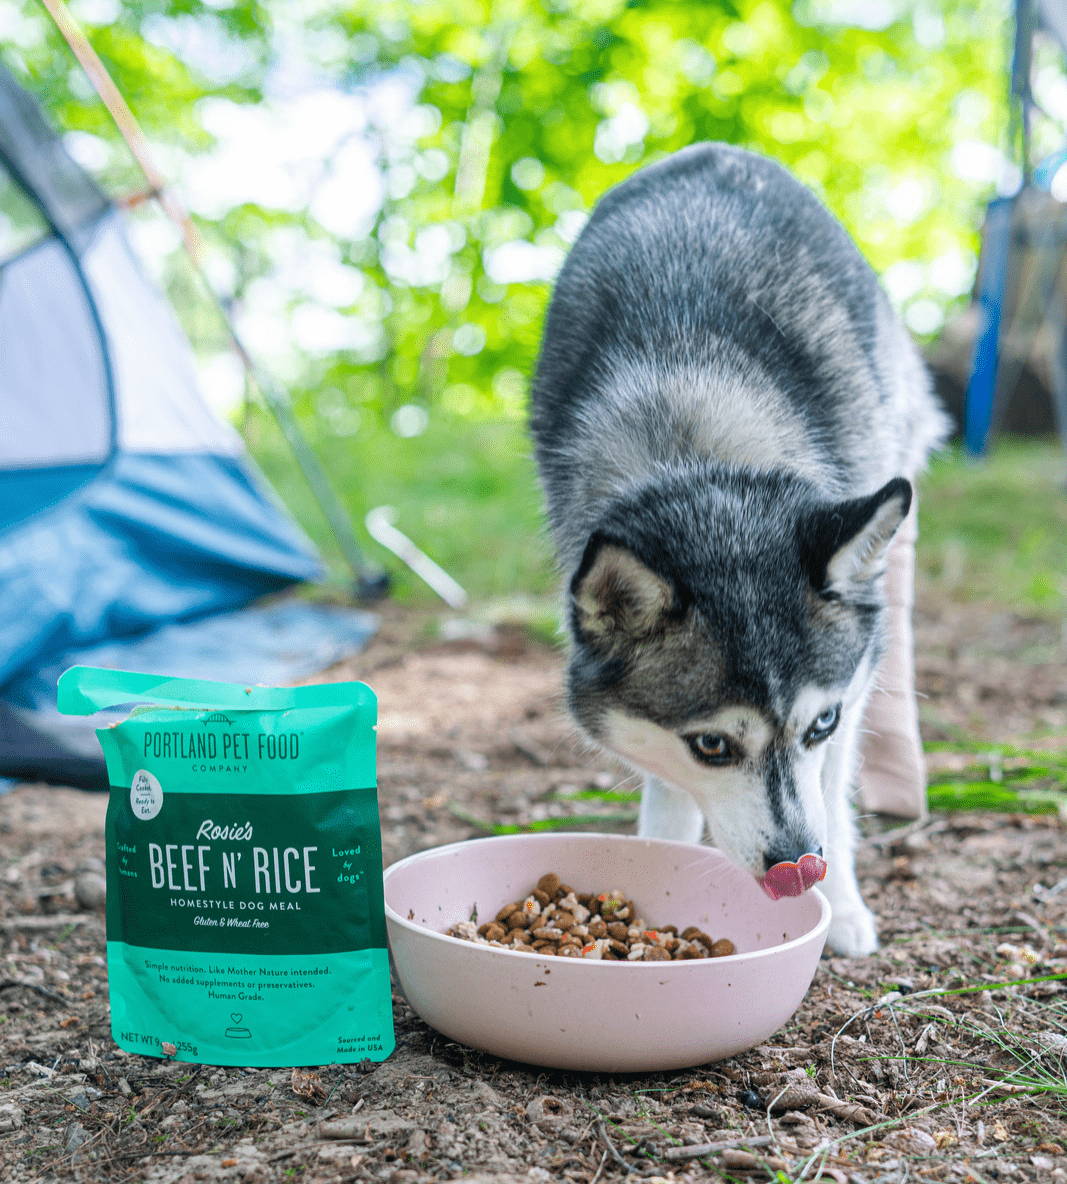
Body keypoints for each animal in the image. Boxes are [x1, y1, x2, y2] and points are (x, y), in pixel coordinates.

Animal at [528, 143, 947, 956]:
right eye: (713, 747)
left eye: (819, 724)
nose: (800, 866)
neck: (701, 457)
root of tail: (717, 151)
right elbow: (666, 792)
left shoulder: (844, 701)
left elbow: (830, 787)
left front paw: (844, 907)